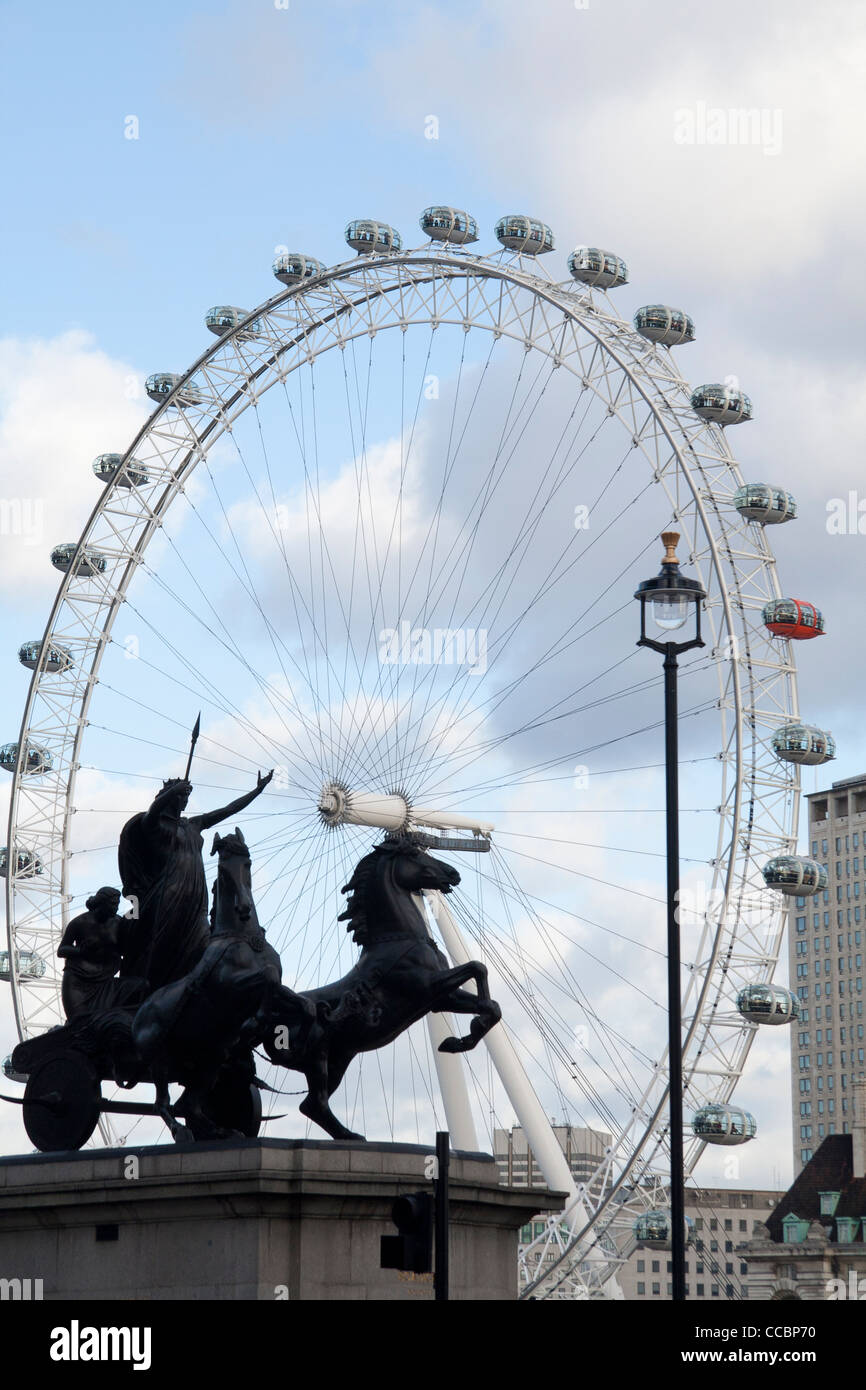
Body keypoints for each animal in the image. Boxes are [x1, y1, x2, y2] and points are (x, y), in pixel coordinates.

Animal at [264, 834, 500, 1139]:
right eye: (414, 854)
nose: (453, 874)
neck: (398, 939)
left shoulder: (440, 1000)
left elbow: (490, 999)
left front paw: (460, 1040)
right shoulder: (427, 987)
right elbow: (476, 968)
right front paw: (466, 1033)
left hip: (340, 1057)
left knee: (313, 1105)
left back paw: (349, 1136)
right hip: (319, 1054)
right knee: (314, 1103)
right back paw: (350, 1137)